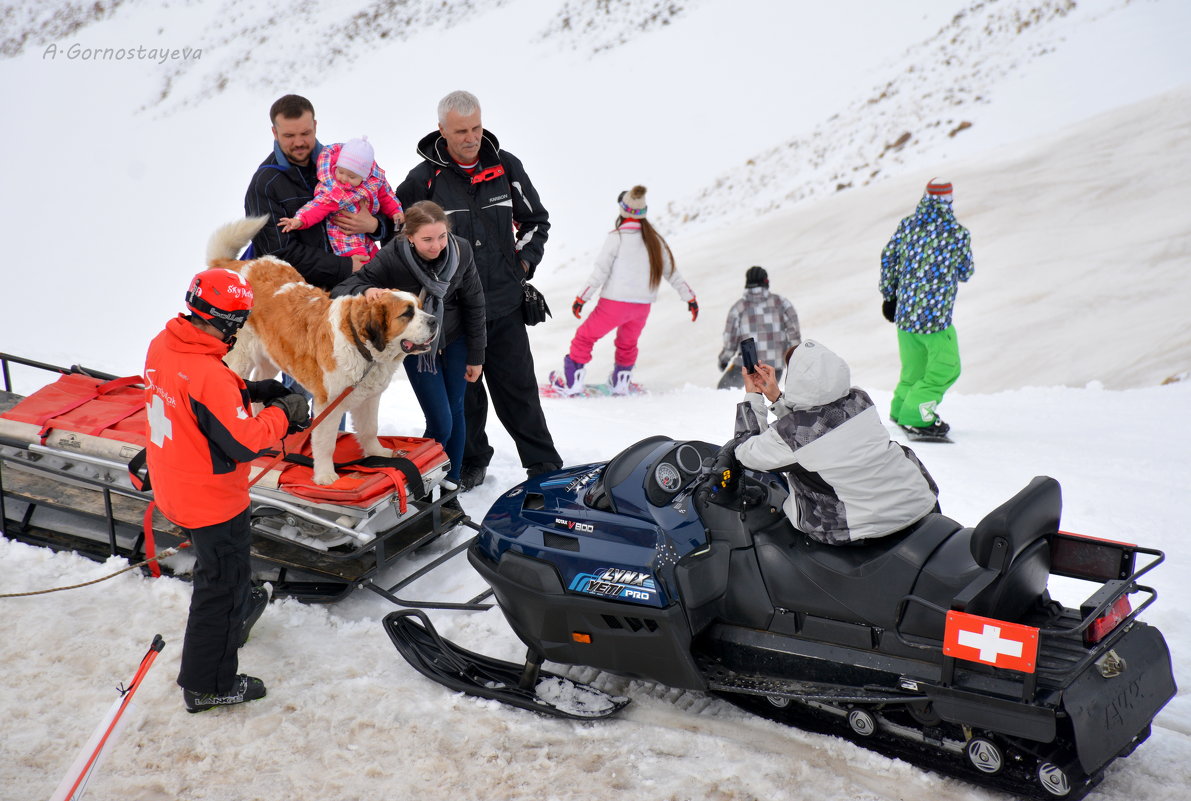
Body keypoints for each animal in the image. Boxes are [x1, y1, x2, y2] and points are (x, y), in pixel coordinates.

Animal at [207, 215, 435, 483]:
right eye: (407, 314)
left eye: (420, 307)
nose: (434, 321)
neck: (362, 346)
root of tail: (238, 265)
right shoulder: (329, 404)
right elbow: (326, 442)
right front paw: (326, 475)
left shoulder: (369, 397)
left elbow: (370, 428)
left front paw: (377, 453)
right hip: (240, 356)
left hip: (271, 356)